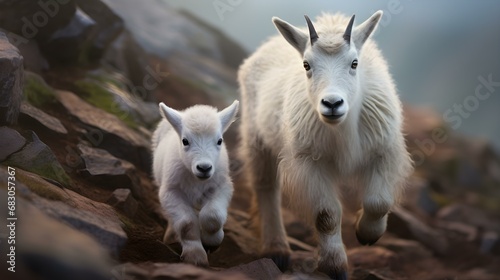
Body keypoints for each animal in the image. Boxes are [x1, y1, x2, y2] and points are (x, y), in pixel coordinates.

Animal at [151, 99, 239, 266]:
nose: (204, 168)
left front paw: (211, 242)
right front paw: (195, 256)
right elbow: (186, 223)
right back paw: (171, 237)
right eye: (185, 141)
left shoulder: (221, 187)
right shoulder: (171, 191)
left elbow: (212, 216)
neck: (196, 179)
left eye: (219, 141)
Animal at [240, 10, 412, 278]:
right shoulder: (309, 161)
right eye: (306, 65)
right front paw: (335, 266)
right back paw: (276, 249)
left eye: (354, 63)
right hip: (256, 138)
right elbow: (326, 215)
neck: (341, 128)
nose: (332, 104)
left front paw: (366, 233)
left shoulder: (384, 151)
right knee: (266, 188)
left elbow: (379, 202)